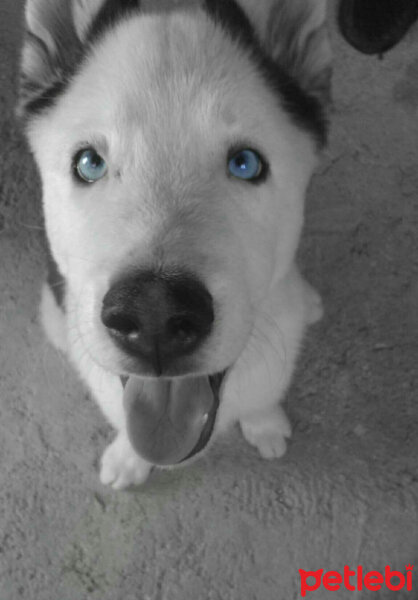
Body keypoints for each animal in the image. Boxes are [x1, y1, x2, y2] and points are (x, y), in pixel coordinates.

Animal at [18, 0, 334, 488]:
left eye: (246, 163)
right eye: (89, 163)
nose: (155, 315)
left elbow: (264, 393)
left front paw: (264, 423)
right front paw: (128, 458)